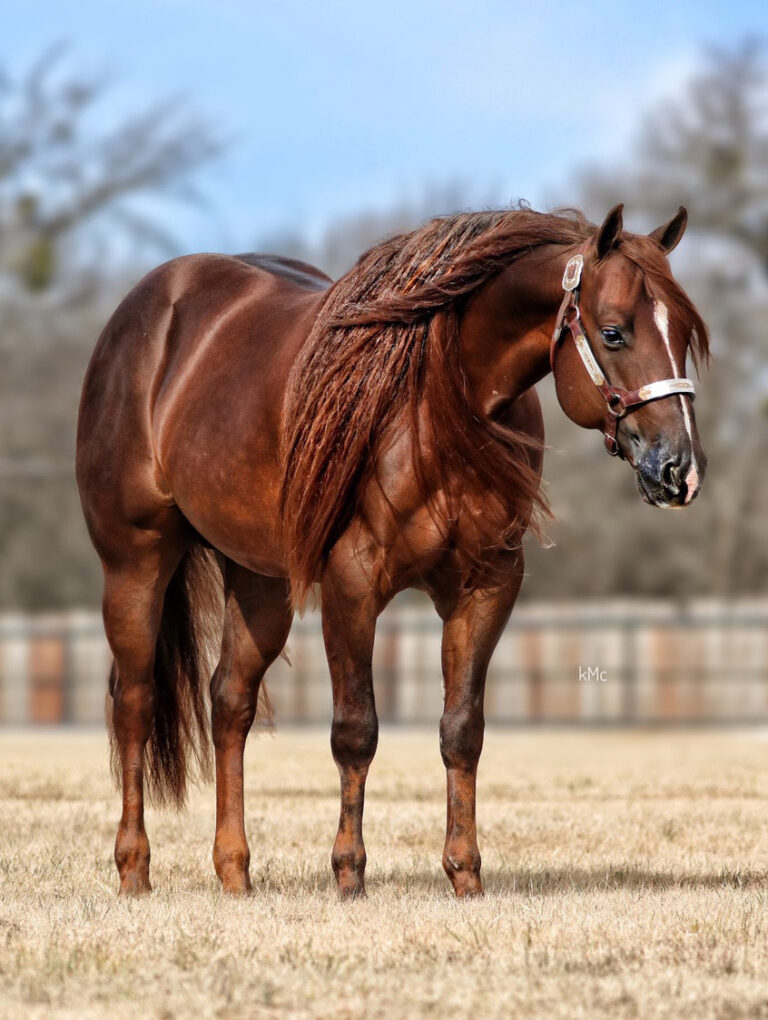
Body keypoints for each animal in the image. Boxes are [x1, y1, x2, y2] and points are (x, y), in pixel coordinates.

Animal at [76, 203, 709, 898]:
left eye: (684, 332)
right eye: (614, 332)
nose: (679, 471)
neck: (437, 400)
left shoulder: (487, 584)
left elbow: (462, 730)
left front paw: (465, 876)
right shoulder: (352, 583)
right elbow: (356, 731)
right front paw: (349, 875)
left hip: (260, 579)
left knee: (229, 704)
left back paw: (235, 874)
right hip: (136, 561)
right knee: (135, 703)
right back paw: (134, 871)